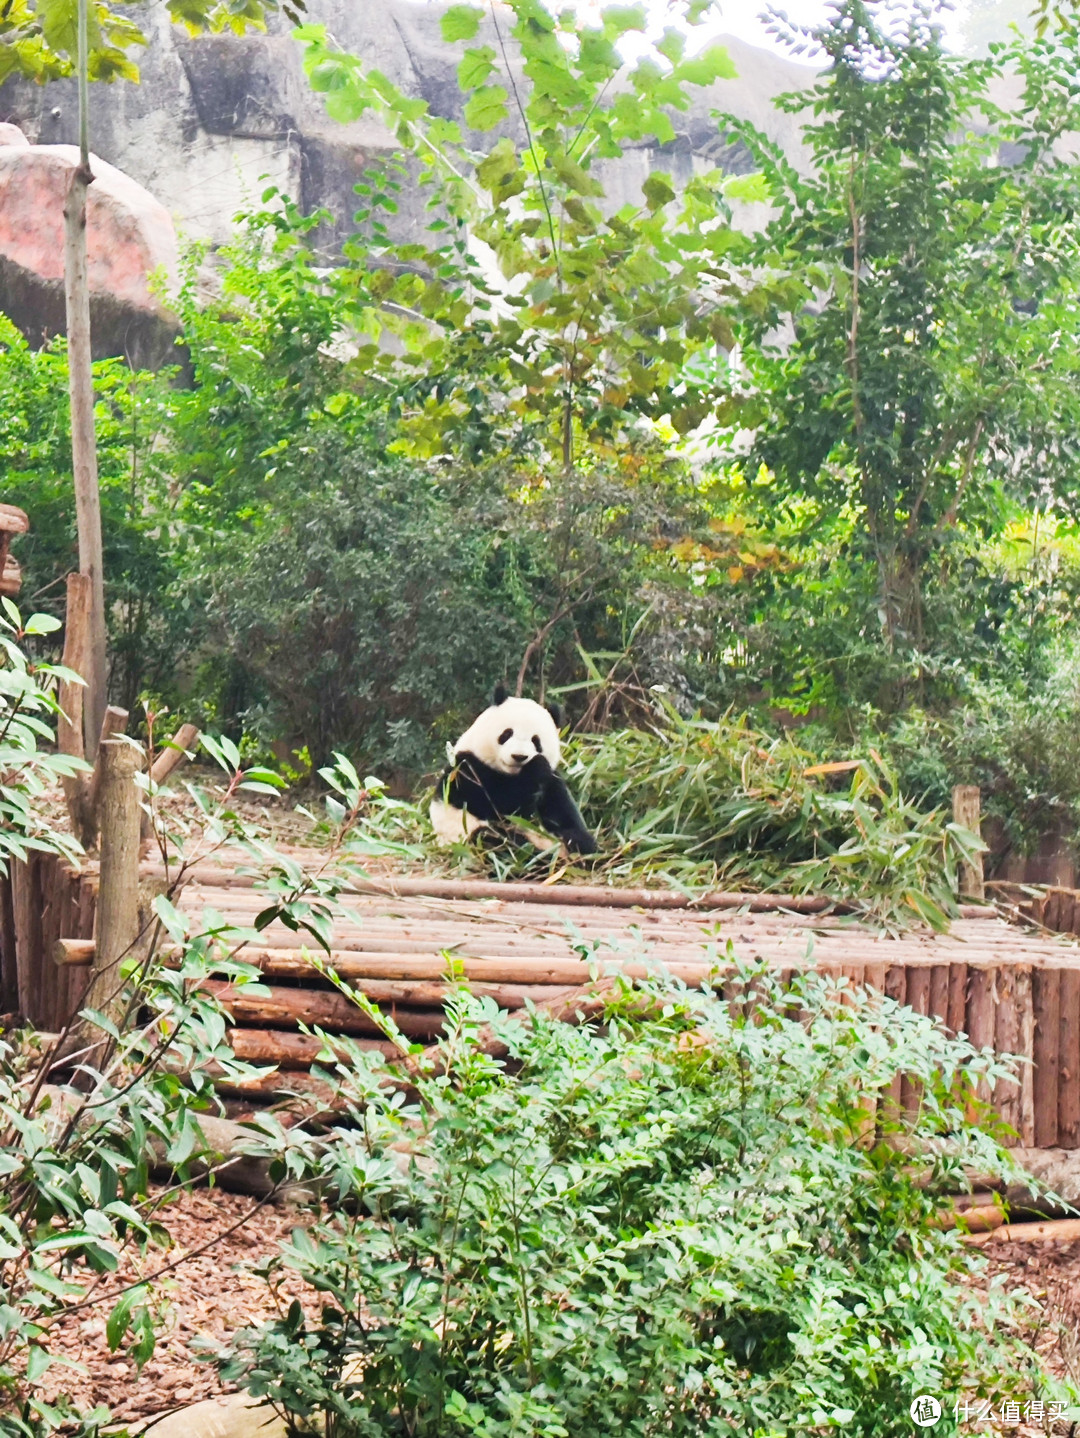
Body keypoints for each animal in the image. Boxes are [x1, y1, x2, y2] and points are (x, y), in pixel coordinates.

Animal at [431, 684, 601, 851]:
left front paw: (580, 841)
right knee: (494, 840)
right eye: (507, 734)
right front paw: (536, 767)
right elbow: (501, 806)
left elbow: (562, 814)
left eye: (536, 741)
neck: (511, 774)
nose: (519, 756)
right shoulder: (467, 769)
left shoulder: (551, 782)